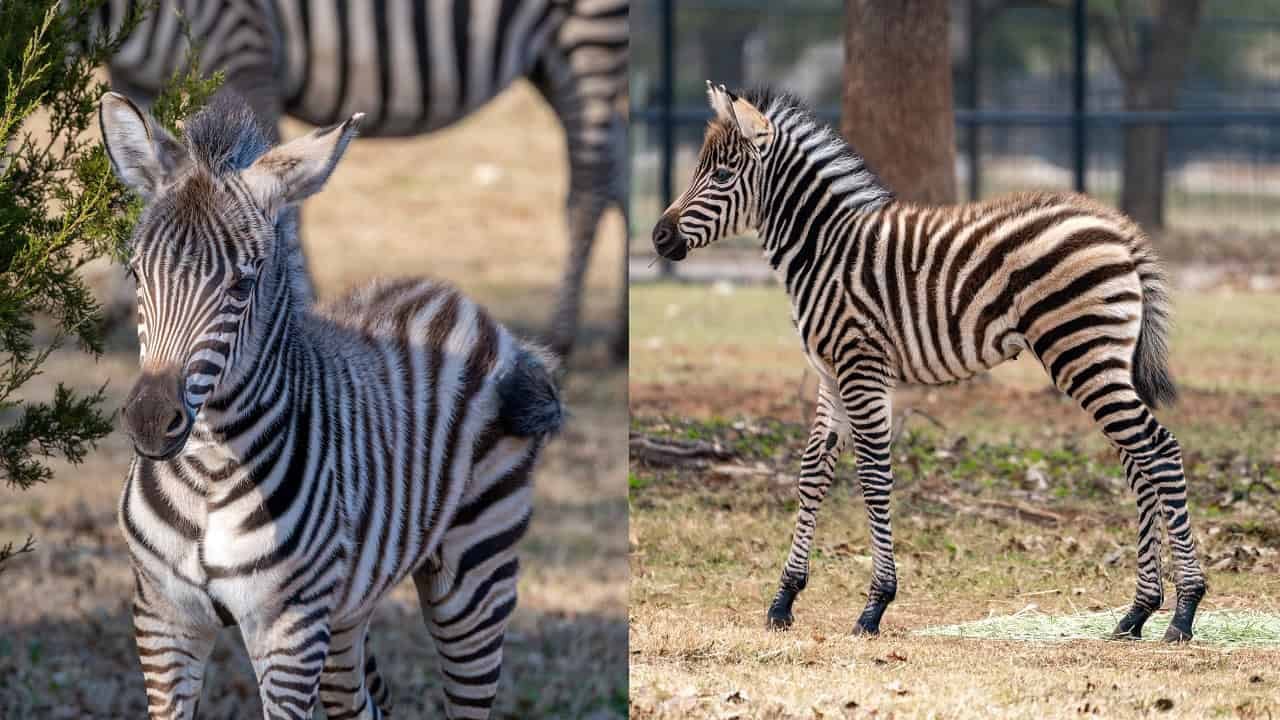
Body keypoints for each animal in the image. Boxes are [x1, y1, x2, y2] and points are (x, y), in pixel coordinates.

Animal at [89, 0, 629, 359]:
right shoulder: (135, 77)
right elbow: (129, 192)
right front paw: (118, 306)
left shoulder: (246, 46)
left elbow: (280, 194)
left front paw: (299, 311)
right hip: (551, 61)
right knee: (614, 174)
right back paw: (619, 332)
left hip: (590, 32)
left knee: (591, 183)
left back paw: (563, 336)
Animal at [101, 88, 563, 718]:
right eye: (136, 274)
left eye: (242, 287)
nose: (150, 419)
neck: (208, 474)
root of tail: (461, 302)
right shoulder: (163, 618)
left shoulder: (288, 632)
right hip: (348, 610)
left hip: (475, 577)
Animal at [651, 82, 1207, 643]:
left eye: (722, 176)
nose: (658, 237)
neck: (823, 252)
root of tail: (1120, 230)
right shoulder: (829, 374)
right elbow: (812, 474)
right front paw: (784, 600)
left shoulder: (862, 367)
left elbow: (874, 476)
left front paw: (875, 605)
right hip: (1102, 357)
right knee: (1138, 460)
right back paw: (1136, 613)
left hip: (1080, 350)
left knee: (1160, 451)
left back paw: (1183, 611)